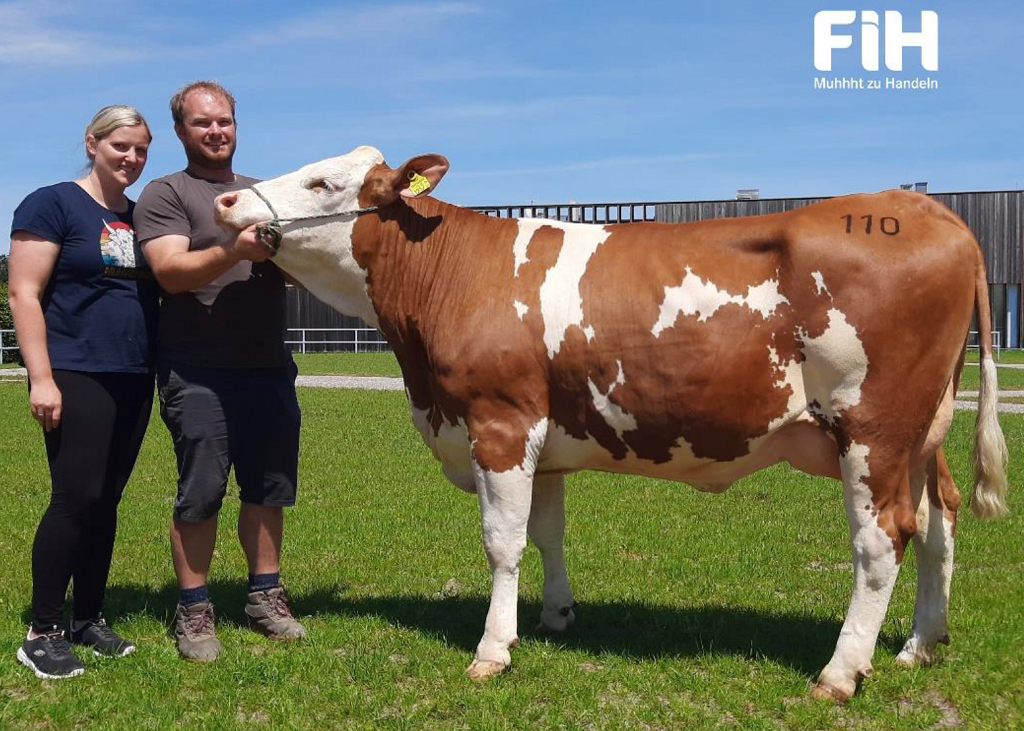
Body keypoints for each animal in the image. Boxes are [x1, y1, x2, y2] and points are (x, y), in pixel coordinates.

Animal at [214, 146, 1007, 700]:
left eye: (323, 183)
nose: (225, 198)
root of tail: (932, 213)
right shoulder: (543, 439)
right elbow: (546, 531)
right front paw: (555, 616)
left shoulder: (499, 424)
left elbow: (502, 543)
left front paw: (492, 650)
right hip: (922, 432)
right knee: (938, 519)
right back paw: (920, 643)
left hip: (873, 429)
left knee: (881, 541)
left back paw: (840, 672)